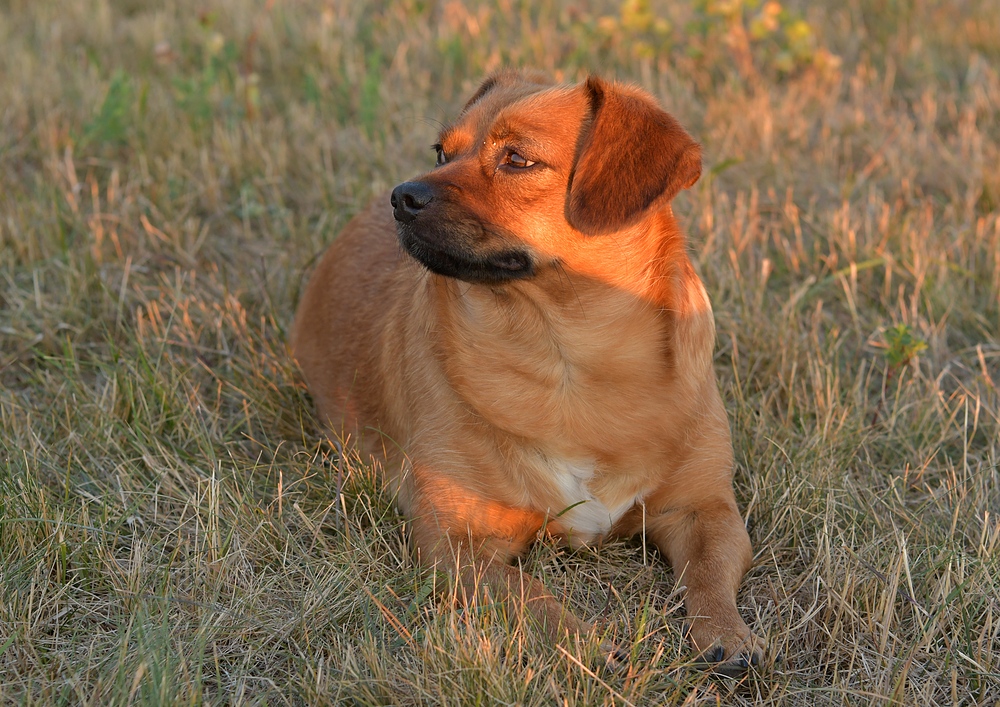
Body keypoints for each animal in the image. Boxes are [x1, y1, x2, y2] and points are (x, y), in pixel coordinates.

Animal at [292, 70, 760, 676]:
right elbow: (532, 598)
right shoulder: (458, 546)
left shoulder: (707, 511)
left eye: (516, 159)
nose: (402, 196)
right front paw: (587, 646)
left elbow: (706, 573)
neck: (567, 360)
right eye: (442, 152)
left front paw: (727, 632)